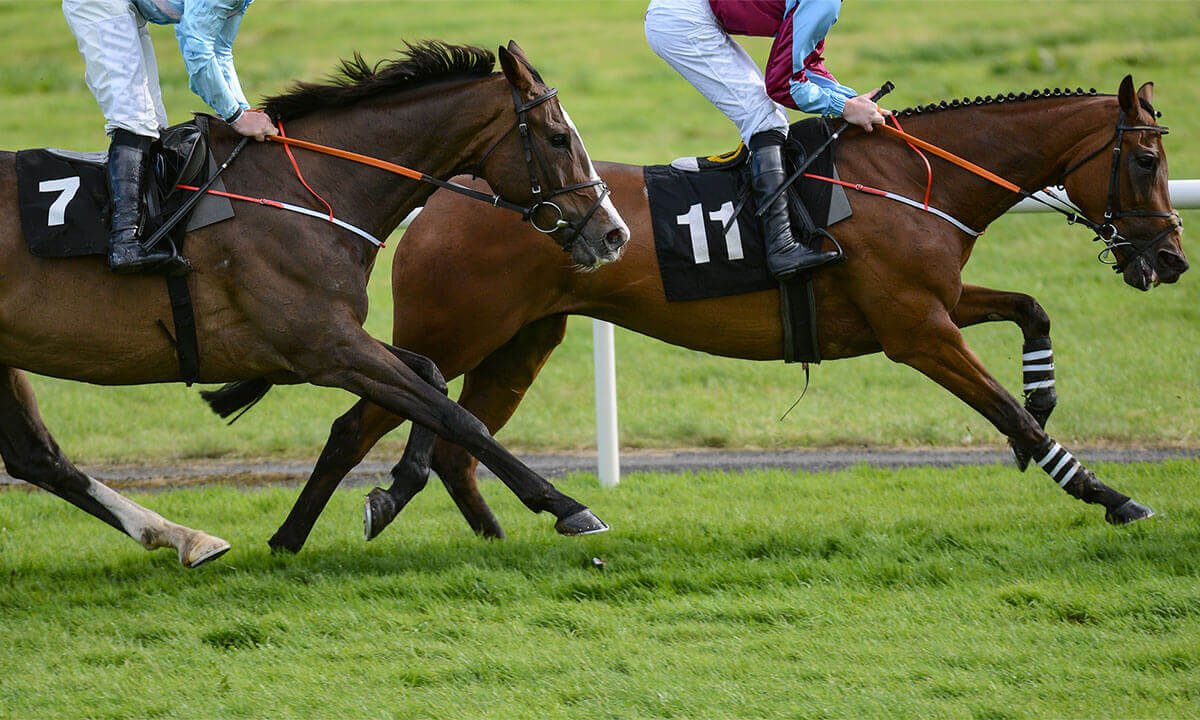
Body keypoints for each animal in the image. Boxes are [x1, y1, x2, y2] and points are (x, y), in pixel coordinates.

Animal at [0, 40, 629, 567]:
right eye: (558, 138)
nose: (613, 234)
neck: (308, 191)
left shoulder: (329, 339)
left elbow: (431, 380)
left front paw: (364, 504)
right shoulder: (325, 347)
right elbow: (455, 414)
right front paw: (566, 505)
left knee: (36, 458)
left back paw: (186, 538)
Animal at [204, 76, 1186, 551]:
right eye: (1144, 159)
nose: (1171, 258)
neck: (916, 178)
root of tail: (450, 191)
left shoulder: (931, 306)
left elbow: (1031, 311)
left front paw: (1048, 395)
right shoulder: (917, 330)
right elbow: (1008, 411)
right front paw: (1108, 494)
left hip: (522, 340)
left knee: (450, 442)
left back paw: (504, 534)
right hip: (449, 331)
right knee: (364, 424)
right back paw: (299, 538)